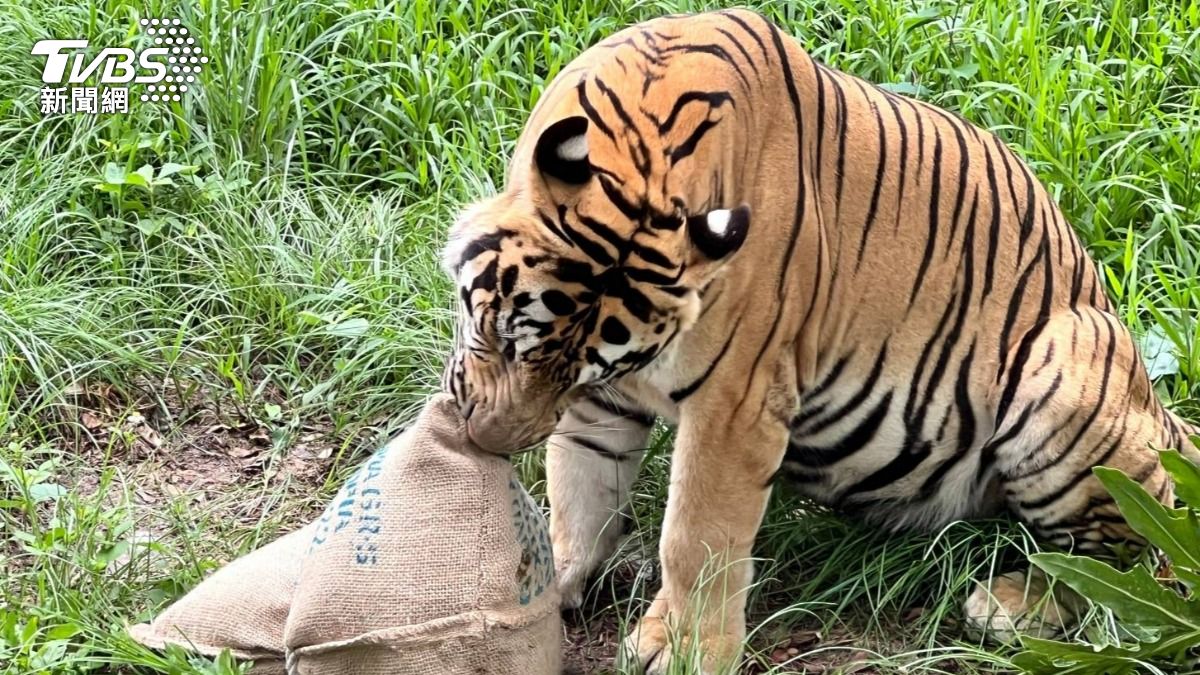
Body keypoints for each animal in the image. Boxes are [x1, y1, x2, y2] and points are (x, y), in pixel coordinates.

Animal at [440, 8, 1198, 672]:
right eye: (504, 339)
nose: (488, 441)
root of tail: (1163, 413)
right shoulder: (604, 400)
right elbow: (580, 491)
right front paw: (545, 581)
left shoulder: (735, 404)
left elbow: (696, 535)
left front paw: (685, 650)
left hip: (1063, 378)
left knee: (1125, 558)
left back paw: (1011, 604)